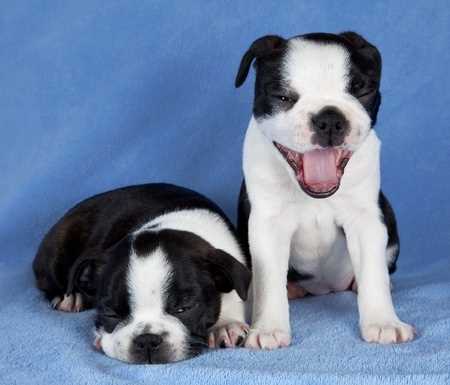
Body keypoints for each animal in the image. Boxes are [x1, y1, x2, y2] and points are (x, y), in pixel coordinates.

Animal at [236, 30, 414, 348]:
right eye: (283, 97)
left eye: (361, 90)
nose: (330, 119)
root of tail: (324, 288)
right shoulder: (268, 225)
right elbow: (269, 280)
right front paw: (268, 328)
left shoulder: (366, 222)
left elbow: (373, 273)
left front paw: (383, 322)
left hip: (389, 218)